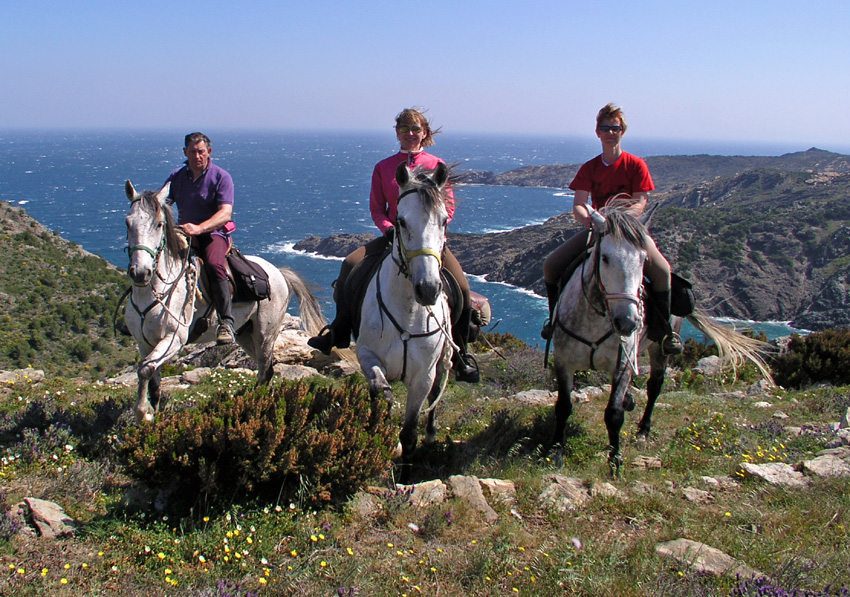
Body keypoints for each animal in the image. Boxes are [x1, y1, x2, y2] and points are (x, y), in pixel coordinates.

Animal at [122, 179, 324, 422]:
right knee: (265, 368)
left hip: (265, 334)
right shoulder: (145, 344)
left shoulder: (174, 340)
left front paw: (143, 413)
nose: (140, 272)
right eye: (128, 223)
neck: (155, 291)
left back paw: (255, 404)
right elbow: (152, 381)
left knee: (266, 369)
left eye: (159, 224)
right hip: (246, 334)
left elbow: (144, 370)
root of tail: (279, 273)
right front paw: (152, 416)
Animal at [354, 162, 454, 474]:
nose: (428, 289)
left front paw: (406, 470)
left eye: (444, 221)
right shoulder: (368, 355)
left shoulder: (423, 375)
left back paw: (431, 434)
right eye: (400, 221)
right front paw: (376, 431)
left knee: (437, 393)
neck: (409, 310)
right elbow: (381, 391)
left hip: (443, 362)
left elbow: (410, 431)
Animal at [548, 204, 768, 474]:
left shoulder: (623, 363)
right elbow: (563, 406)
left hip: (659, 348)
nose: (628, 322)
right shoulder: (564, 361)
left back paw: (643, 430)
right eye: (605, 257)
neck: (596, 317)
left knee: (655, 386)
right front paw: (555, 453)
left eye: (644, 260)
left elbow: (614, 413)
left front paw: (615, 461)